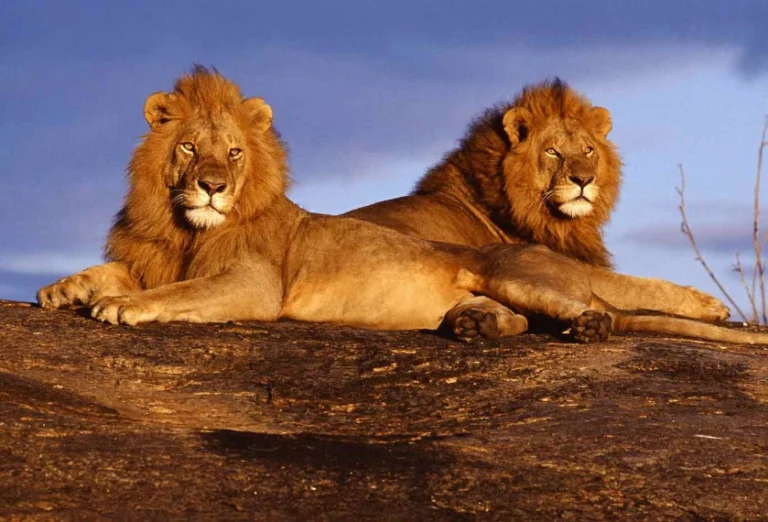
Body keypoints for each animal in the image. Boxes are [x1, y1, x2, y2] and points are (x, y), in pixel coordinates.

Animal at [36, 67, 768, 346]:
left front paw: (121, 306)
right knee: (523, 320)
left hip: (517, 271)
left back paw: (587, 326)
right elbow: (112, 272)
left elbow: (176, 293)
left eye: (234, 153)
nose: (212, 185)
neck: (185, 226)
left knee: (598, 308)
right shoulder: (153, 256)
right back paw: (476, 325)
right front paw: (63, 290)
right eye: (189, 148)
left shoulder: (253, 284)